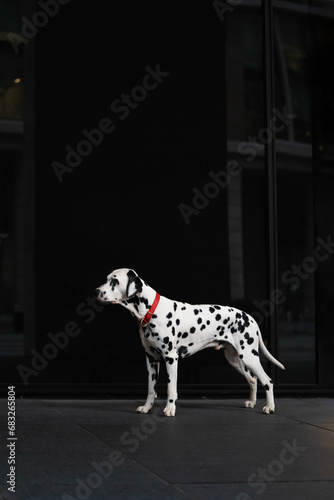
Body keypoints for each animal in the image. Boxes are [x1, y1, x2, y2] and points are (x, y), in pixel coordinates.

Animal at [96, 268, 284, 416]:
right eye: (107, 279)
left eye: (114, 281)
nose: (96, 290)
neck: (151, 310)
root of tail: (250, 318)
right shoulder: (151, 359)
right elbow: (151, 389)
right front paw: (147, 408)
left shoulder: (171, 359)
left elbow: (171, 388)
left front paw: (170, 409)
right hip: (236, 360)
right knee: (253, 380)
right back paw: (252, 402)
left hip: (249, 357)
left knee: (267, 381)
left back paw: (270, 407)